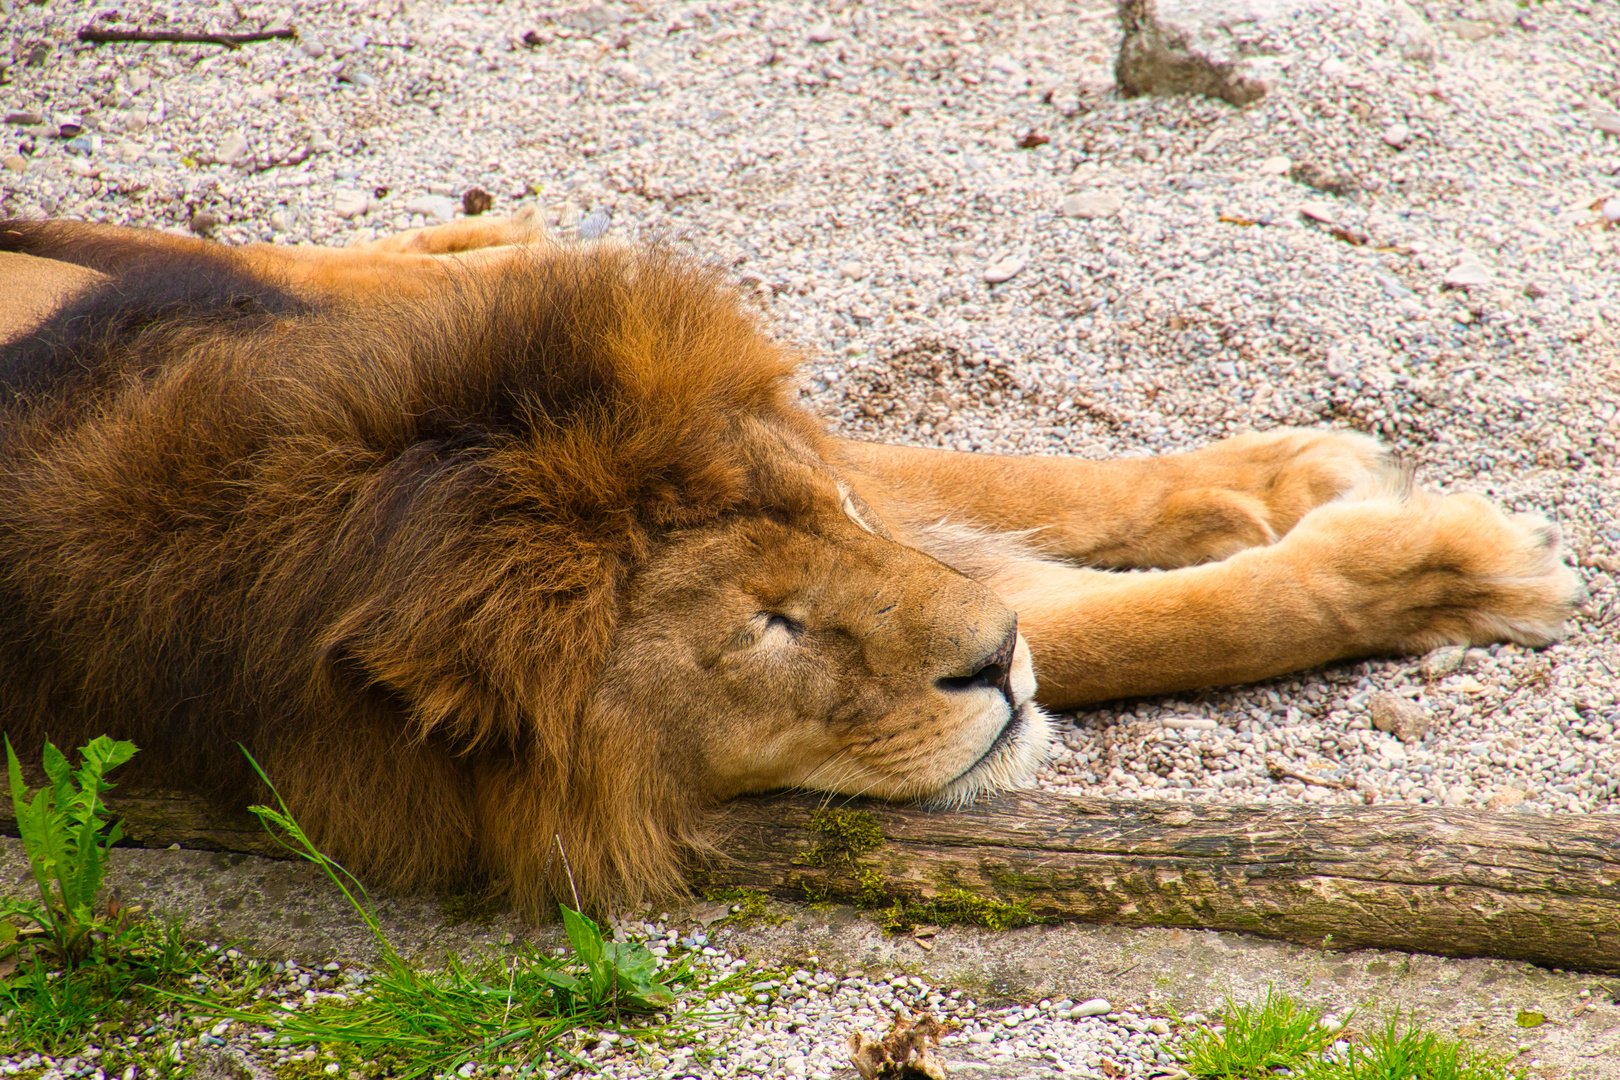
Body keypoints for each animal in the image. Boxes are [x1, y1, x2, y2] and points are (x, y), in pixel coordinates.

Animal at [0, 213, 1574, 913]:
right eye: (769, 628)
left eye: (823, 520)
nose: (991, 665)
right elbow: (1122, 627)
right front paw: (1441, 566)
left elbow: (1018, 501)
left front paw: (1365, 511)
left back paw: (498, 240)